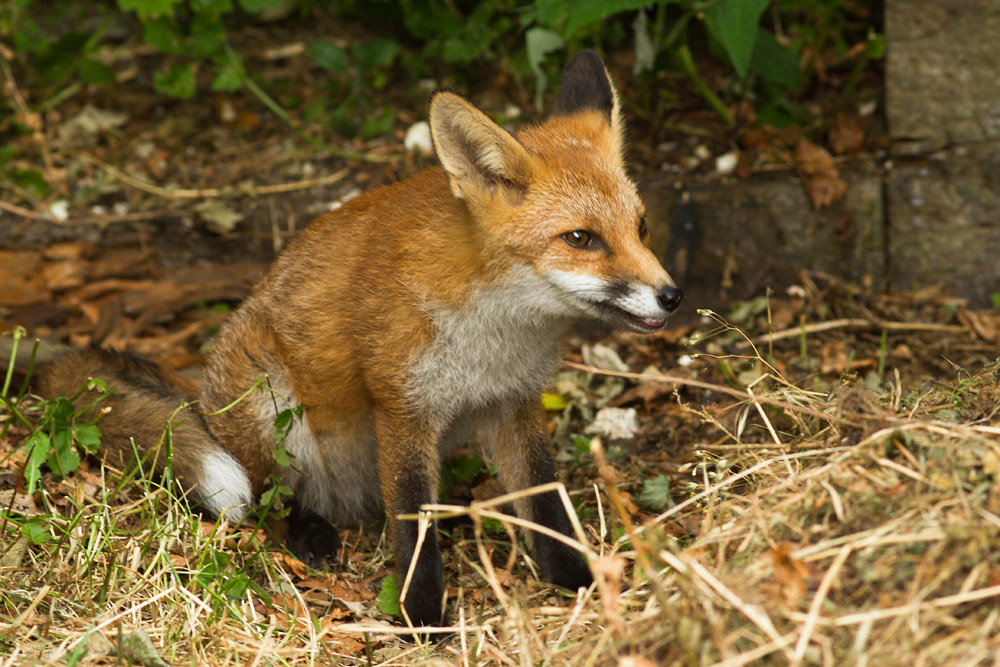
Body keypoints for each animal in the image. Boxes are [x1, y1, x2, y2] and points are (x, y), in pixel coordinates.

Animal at [4, 50, 682, 628]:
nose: (671, 296)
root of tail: (199, 398)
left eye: (642, 227)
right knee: (272, 495)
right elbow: (413, 521)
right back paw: (310, 532)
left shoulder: (513, 401)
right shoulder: (402, 405)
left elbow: (546, 505)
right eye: (581, 239)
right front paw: (421, 614)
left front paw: (579, 579)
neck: (494, 334)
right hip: (271, 405)